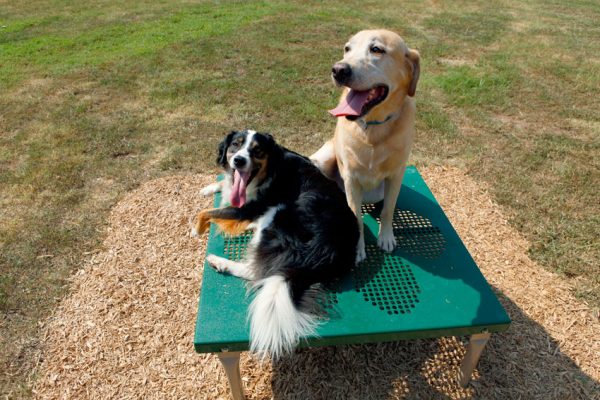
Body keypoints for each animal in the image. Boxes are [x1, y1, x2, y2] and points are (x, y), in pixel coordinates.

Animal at [195, 130, 358, 360]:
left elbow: (205, 212)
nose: (238, 160)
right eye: (235, 145)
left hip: (277, 213)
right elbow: (223, 189)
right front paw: (210, 187)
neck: (269, 170)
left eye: (257, 150)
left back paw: (220, 262)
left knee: (256, 270)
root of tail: (323, 252)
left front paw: (196, 229)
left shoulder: (247, 208)